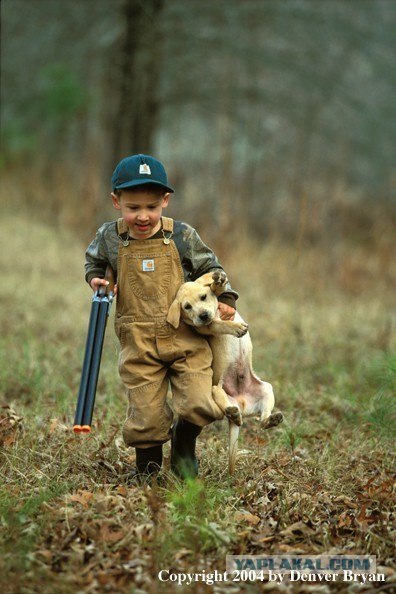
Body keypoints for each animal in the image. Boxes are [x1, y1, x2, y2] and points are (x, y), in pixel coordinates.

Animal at [166, 270, 282, 472]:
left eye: (203, 297)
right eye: (187, 307)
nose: (203, 315)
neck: (216, 312)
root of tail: (241, 404)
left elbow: (214, 288)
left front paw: (218, 281)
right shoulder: (207, 327)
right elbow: (220, 324)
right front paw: (236, 328)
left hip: (267, 389)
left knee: (263, 419)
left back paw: (271, 419)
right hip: (216, 390)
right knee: (226, 407)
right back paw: (233, 413)